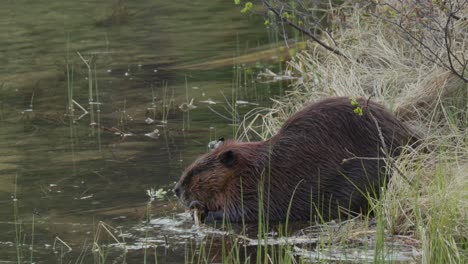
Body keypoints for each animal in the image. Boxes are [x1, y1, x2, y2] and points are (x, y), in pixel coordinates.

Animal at [174, 97, 414, 223]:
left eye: (197, 171)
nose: (176, 189)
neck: (255, 168)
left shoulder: (255, 189)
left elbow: (244, 213)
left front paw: (199, 209)